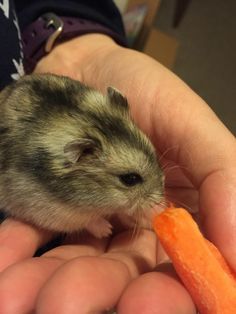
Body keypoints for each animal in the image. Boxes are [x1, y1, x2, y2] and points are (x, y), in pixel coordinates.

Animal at [0, 73, 164, 236]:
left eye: (154, 155)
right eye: (130, 179)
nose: (160, 199)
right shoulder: (56, 214)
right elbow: (88, 222)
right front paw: (107, 230)